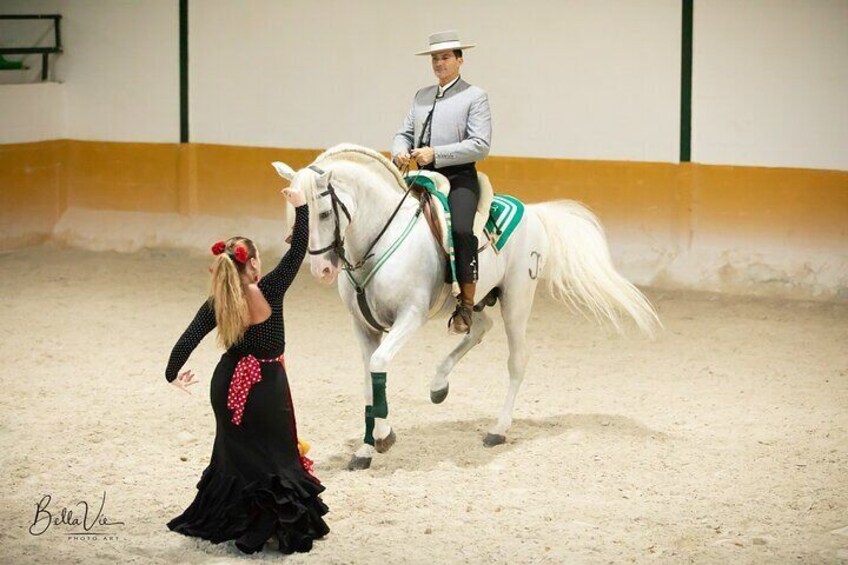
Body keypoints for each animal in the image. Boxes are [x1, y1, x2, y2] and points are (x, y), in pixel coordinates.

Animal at [274, 143, 660, 470]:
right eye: (295, 212)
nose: (322, 271)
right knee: (478, 328)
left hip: (516, 300)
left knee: (517, 360)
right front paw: (365, 450)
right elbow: (369, 379)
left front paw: (383, 438)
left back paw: (498, 430)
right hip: (473, 301)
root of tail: (533, 213)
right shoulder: (362, 326)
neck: (379, 239)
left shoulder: (410, 316)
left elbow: (379, 364)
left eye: (325, 213)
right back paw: (438, 385)